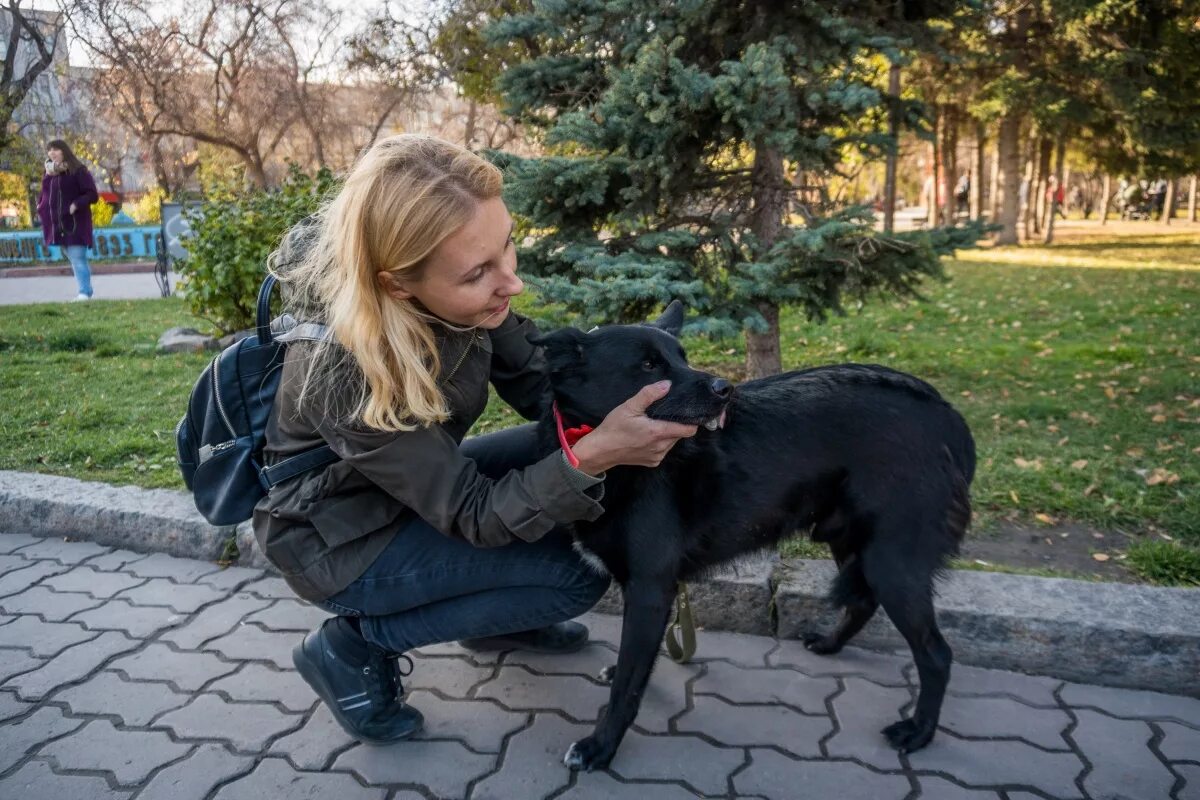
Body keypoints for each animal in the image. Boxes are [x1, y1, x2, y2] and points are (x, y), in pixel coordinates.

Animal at [532, 299, 974, 767]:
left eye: (682, 357)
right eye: (649, 365)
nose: (725, 389)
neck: (611, 462)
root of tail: (944, 412)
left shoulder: (651, 588)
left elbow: (627, 687)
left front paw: (600, 746)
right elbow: (635, 664)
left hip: (892, 560)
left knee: (936, 653)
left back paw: (919, 731)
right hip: (853, 542)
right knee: (863, 602)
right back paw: (831, 644)